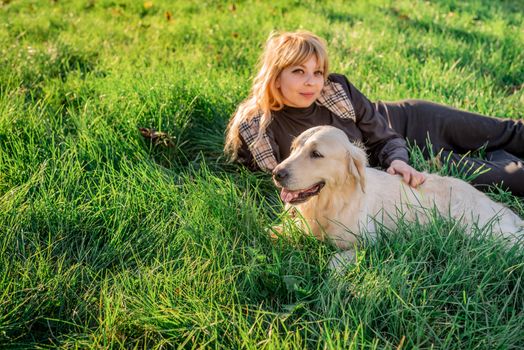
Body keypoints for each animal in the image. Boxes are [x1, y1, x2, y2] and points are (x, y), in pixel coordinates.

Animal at [272, 126, 524, 266]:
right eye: (293, 148)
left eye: (316, 154)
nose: (276, 173)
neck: (332, 202)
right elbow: (272, 231)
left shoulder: (368, 243)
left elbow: (334, 262)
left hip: (481, 230)